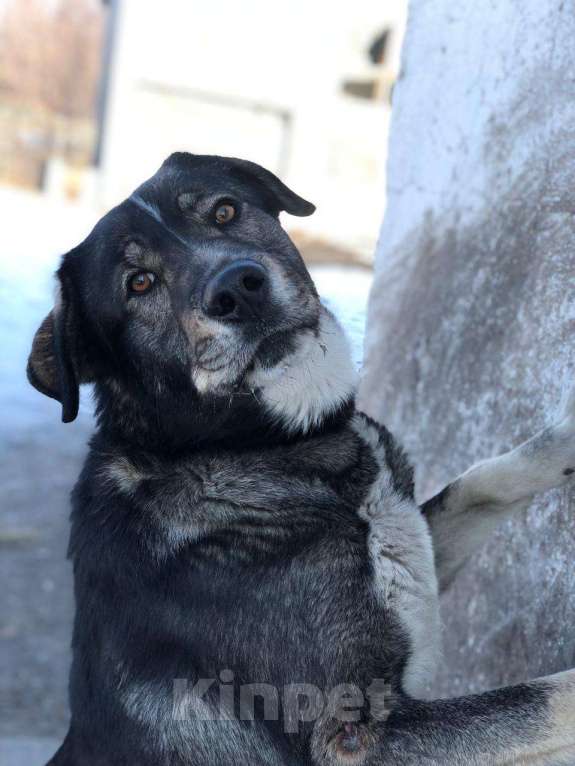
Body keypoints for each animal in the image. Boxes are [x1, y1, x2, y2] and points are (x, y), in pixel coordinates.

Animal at [28, 153, 575, 764]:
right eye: (139, 283)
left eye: (225, 210)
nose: (238, 288)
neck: (253, 447)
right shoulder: (352, 738)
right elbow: (548, 698)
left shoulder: (419, 554)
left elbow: (481, 480)